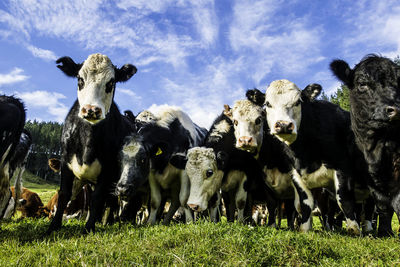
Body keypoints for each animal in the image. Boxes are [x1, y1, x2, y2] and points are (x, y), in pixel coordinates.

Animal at [46, 52, 138, 234]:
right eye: (79, 79)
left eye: (111, 82)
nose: (91, 109)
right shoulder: (66, 162)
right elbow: (64, 193)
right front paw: (54, 226)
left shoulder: (108, 169)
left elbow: (97, 199)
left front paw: (89, 227)